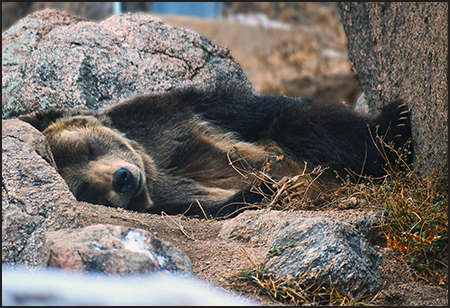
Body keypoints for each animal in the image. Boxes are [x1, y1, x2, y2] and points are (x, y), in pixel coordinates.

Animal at [19, 85, 414, 218]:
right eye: (84, 189)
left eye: (89, 148)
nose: (122, 179)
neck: (154, 164)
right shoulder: (173, 200)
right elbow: (217, 203)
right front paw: (265, 188)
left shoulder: (167, 116)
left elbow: (262, 112)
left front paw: (394, 124)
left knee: (302, 127)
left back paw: (395, 127)